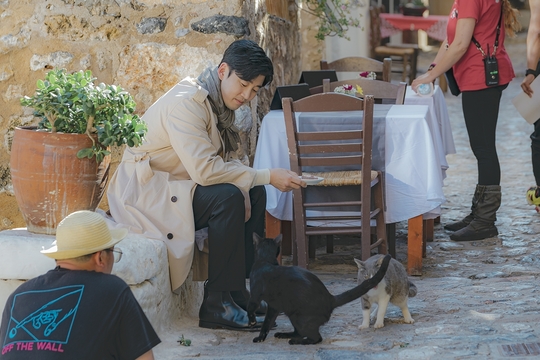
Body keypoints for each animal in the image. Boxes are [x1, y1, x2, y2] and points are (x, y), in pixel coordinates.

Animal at [247, 232, 390, 344]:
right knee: (300, 332)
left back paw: (296, 341)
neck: (266, 261)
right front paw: (261, 337)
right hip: (292, 313)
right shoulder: (274, 306)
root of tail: (330, 299)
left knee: (316, 338)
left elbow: (252, 309)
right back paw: (285, 335)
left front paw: (253, 324)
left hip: (298, 317)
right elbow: (268, 322)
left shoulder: (255, 297)